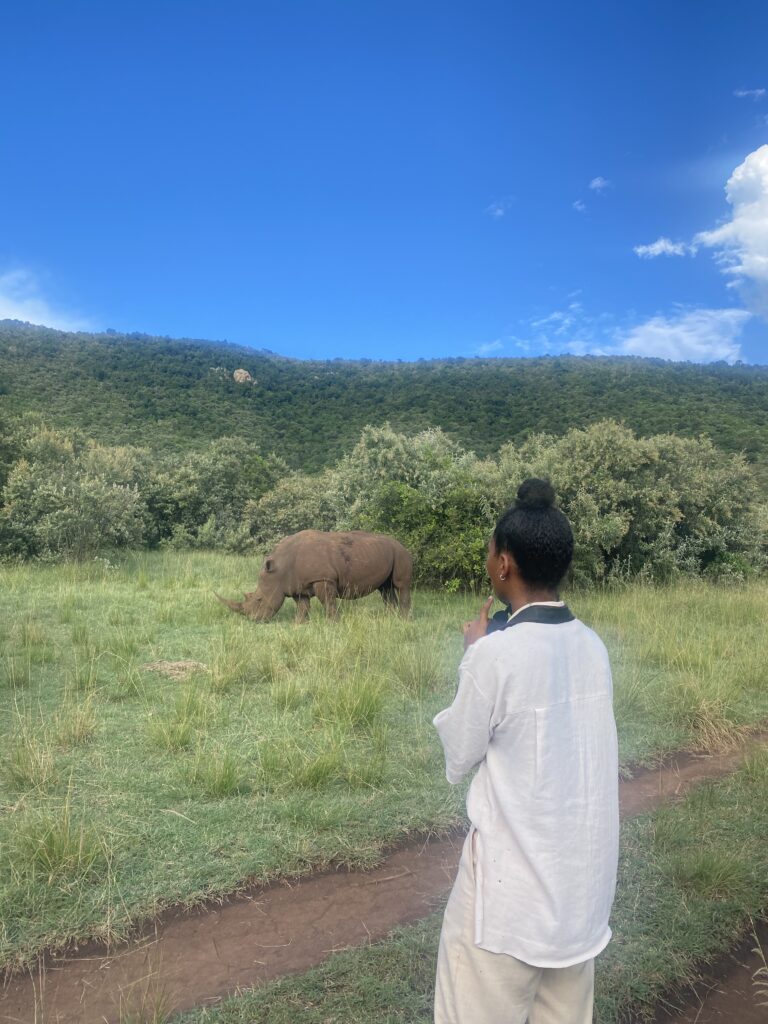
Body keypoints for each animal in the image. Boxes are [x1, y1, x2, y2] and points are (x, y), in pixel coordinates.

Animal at [216, 530, 412, 622]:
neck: (280, 569)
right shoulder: (297, 585)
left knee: (400, 585)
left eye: (258, 600)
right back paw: (391, 619)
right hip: (385, 553)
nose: (254, 620)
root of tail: (402, 544)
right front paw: (298, 624)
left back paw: (403, 619)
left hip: (400, 553)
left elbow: (329, 603)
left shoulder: (323, 578)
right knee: (386, 588)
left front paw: (333, 624)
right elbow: (302, 607)